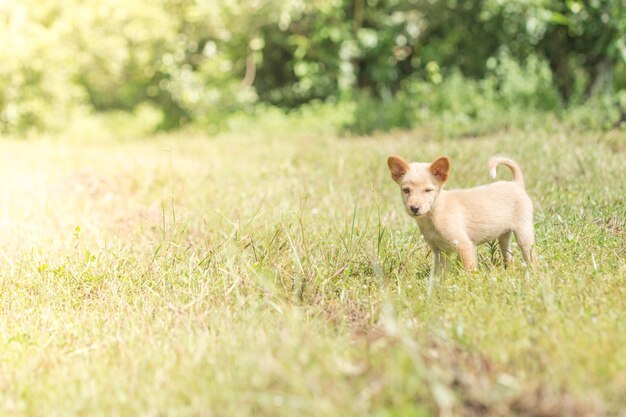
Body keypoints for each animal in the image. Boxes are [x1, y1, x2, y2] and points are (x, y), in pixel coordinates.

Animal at [388, 154, 532, 274]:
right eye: (406, 190)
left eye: (428, 190)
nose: (414, 208)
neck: (435, 213)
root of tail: (516, 184)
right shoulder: (440, 252)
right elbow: (439, 275)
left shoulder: (465, 246)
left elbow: (470, 272)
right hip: (504, 236)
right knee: (508, 257)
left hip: (524, 234)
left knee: (531, 257)